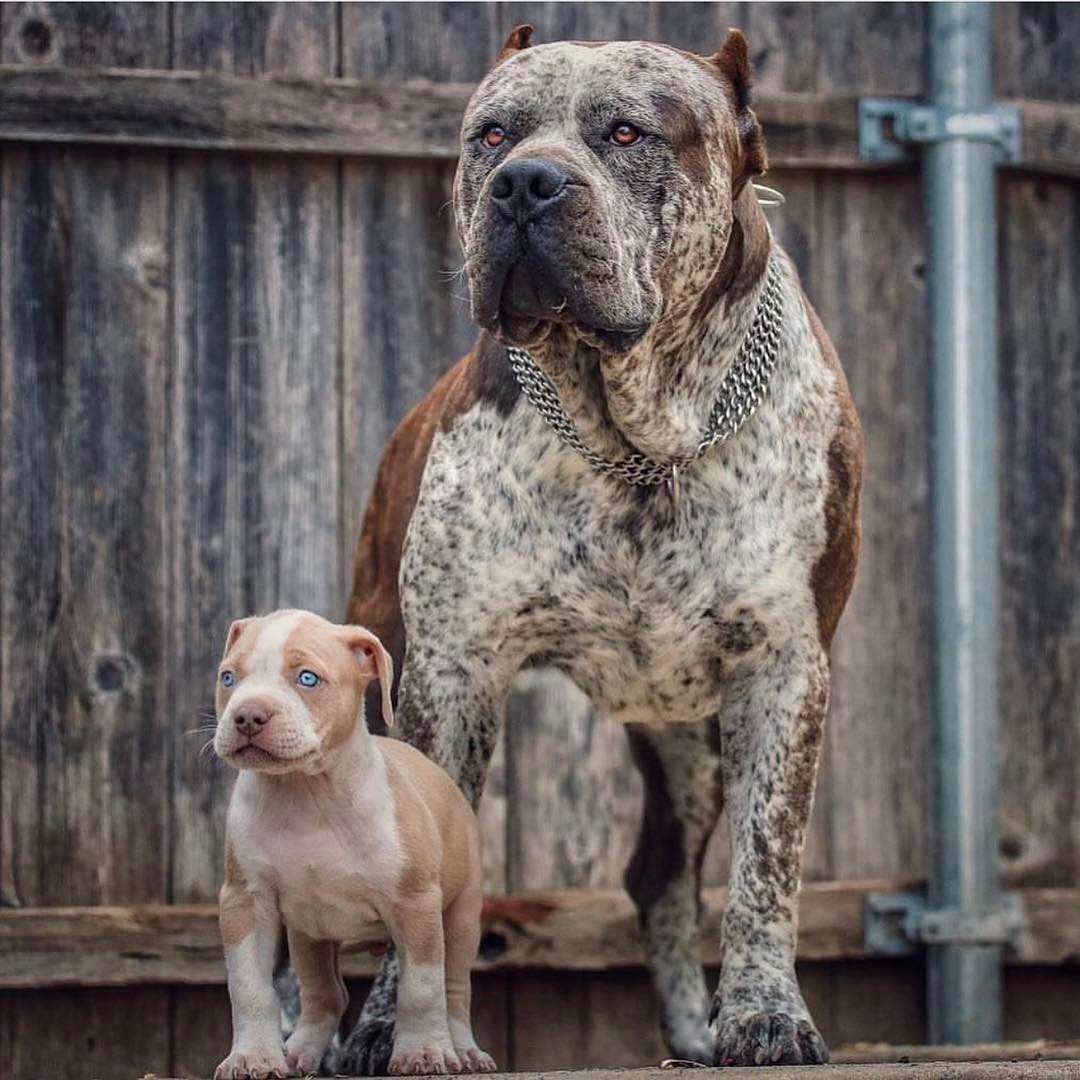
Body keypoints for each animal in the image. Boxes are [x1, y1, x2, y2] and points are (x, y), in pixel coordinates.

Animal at [211, 613, 496, 1075]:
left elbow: (421, 988)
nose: (248, 715)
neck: (304, 792)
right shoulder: (245, 901)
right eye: (229, 677)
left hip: (462, 914)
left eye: (308, 678)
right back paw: (300, 1050)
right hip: (310, 935)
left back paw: (465, 1050)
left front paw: (423, 1052)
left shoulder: (415, 903)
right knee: (326, 995)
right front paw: (253, 1057)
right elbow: (249, 987)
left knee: (454, 989)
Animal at [336, 25, 859, 1071]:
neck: (637, 440)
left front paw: (764, 1015)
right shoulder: (451, 673)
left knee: (659, 874)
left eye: (626, 133)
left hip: (693, 742)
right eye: (491, 134)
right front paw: (390, 1028)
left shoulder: (784, 671)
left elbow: (767, 864)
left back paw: (695, 1032)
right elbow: (413, 879)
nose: (525, 184)